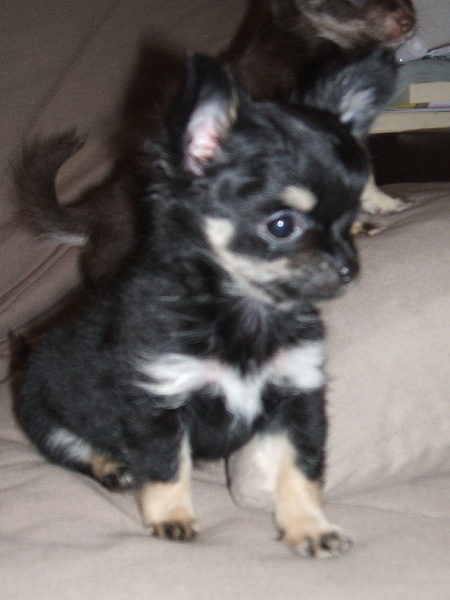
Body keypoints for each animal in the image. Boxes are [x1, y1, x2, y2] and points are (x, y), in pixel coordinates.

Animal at [17, 49, 396, 557]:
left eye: (351, 217)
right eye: (281, 226)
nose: (348, 269)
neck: (245, 314)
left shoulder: (296, 395)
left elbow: (299, 470)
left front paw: (309, 527)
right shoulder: (158, 398)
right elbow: (167, 467)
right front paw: (171, 519)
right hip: (40, 413)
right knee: (73, 448)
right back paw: (112, 467)